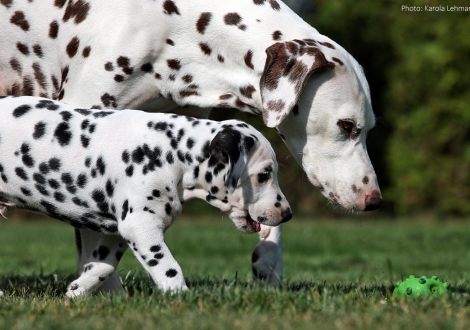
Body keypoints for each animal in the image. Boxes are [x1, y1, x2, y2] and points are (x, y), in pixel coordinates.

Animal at [0, 95, 292, 296]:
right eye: (264, 175)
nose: (287, 214)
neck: (172, 152)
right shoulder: (140, 226)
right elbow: (169, 268)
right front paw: (182, 299)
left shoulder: (116, 233)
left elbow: (102, 266)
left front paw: (76, 291)